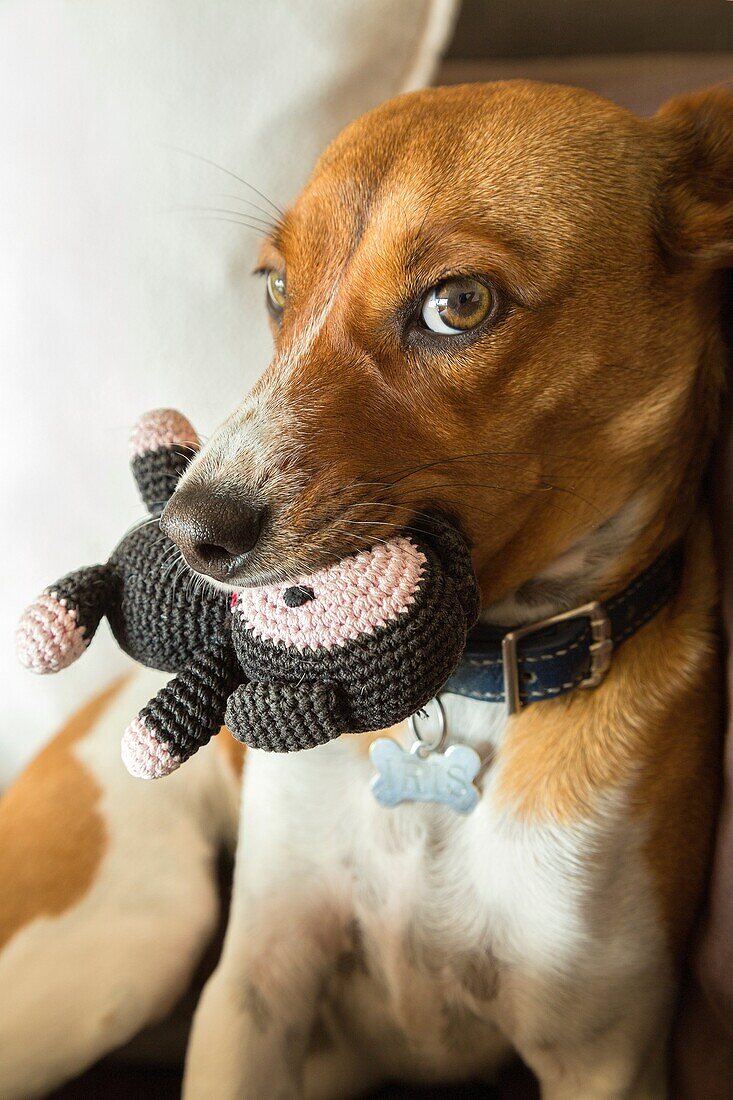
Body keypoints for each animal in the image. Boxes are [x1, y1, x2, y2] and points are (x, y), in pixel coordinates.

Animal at [1, 81, 730, 1095]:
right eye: (275, 288)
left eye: (459, 304)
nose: (185, 535)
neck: (461, 698)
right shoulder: (255, 995)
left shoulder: (603, 1053)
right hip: (127, 949)